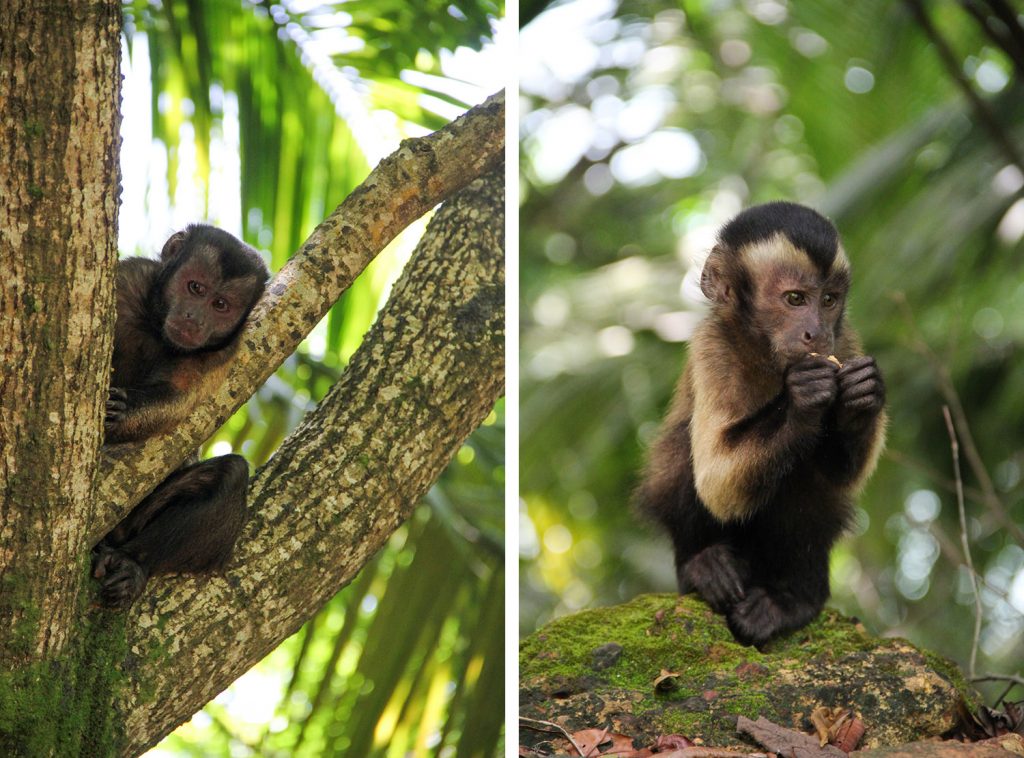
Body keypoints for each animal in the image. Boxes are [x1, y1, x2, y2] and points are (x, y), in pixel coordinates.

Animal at [94, 225, 270, 610]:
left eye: (221, 306)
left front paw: (121, 411)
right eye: (195, 288)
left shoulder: (220, 351)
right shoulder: (130, 278)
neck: (155, 326)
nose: (195, 319)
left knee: (231, 475)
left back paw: (132, 564)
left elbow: (178, 401)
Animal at [634, 201, 884, 647]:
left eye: (829, 300)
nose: (816, 332)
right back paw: (703, 567)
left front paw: (862, 395)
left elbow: (842, 474)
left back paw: (795, 598)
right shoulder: (712, 347)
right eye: (795, 299)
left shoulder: (845, 343)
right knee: (684, 451)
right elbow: (716, 483)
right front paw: (803, 399)